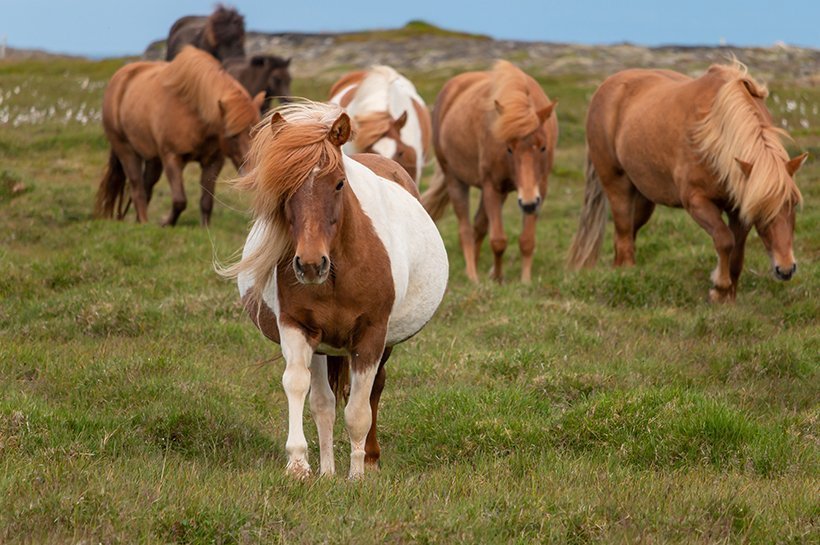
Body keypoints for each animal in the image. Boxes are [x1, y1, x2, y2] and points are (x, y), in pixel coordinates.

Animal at [95, 46, 262, 225]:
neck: (194, 111)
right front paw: (166, 223)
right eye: (233, 136)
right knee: (137, 188)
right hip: (126, 151)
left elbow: (206, 202)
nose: (252, 175)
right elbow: (179, 200)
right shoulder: (172, 158)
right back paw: (145, 222)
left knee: (146, 187)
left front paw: (205, 228)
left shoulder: (213, 161)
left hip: (153, 159)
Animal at [223, 101, 448, 476]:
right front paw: (300, 465)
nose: (311, 264)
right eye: (284, 186)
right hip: (322, 346)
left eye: (340, 183)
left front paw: (356, 475)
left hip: (383, 343)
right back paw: (328, 471)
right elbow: (300, 387)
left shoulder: (371, 335)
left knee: (374, 391)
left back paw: (369, 458)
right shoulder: (298, 327)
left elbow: (358, 409)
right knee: (323, 401)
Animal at [422, 59, 556, 282]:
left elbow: (527, 240)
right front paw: (498, 278)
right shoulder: (492, 186)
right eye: (509, 148)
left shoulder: (540, 189)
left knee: (479, 226)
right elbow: (498, 240)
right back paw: (472, 274)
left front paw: (525, 280)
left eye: (543, 147)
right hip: (456, 181)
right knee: (466, 230)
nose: (527, 203)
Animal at [572, 62, 808, 306]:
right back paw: (627, 275)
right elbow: (725, 240)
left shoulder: (739, 208)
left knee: (626, 234)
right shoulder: (697, 202)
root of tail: (606, 87)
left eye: (793, 204)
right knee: (624, 234)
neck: (715, 134)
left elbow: (737, 252)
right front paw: (719, 288)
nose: (786, 269)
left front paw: (728, 296)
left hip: (644, 199)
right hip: (617, 186)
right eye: (761, 211)